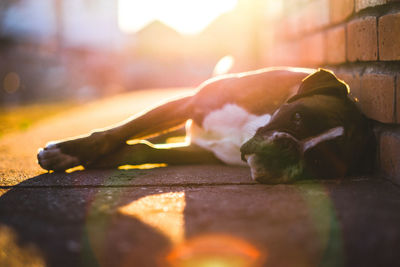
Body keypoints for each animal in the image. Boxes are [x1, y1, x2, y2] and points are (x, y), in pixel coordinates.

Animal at [36, 67, 376, 184]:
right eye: (299, 117)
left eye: (317, 163)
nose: (287, 146)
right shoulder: (190, 103)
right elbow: (118, 132)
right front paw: (66, 152)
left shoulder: (204, 152)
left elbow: (144, 148)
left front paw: (110, 159)